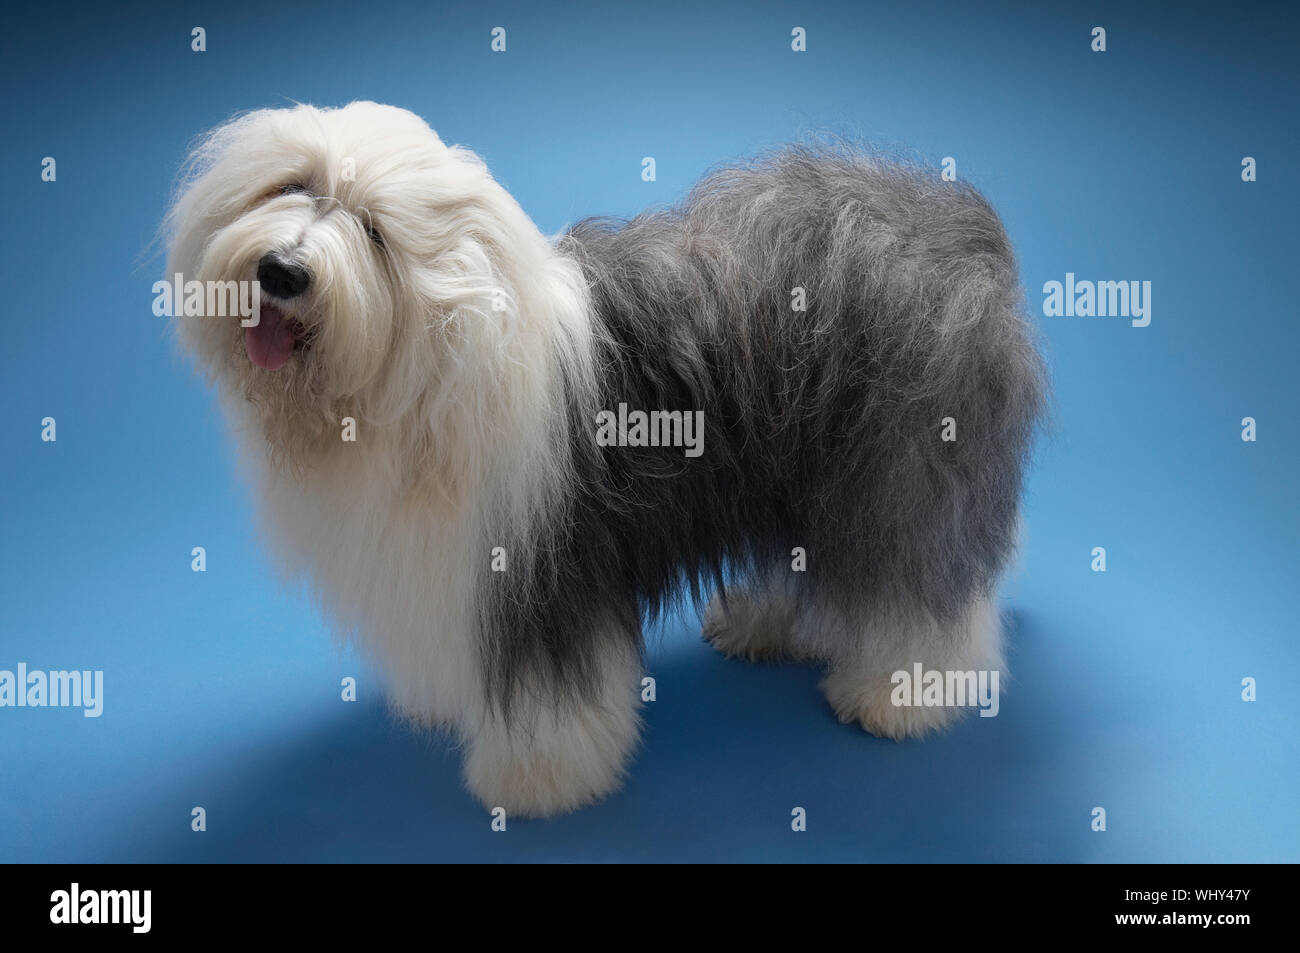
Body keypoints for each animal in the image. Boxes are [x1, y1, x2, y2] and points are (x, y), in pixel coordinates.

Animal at [165, 102, 1045, 816]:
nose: (282, 271)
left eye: (374, 229)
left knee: (923, 578)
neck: (423, 375)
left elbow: (547, 696)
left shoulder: (540, 576)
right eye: (291, 185)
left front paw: (536, 781)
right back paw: (762, 621)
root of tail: (955, 217)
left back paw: (900, 692)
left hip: (901, 465)